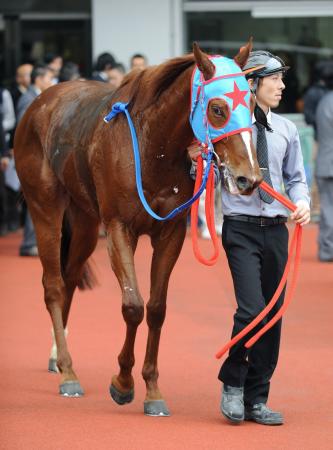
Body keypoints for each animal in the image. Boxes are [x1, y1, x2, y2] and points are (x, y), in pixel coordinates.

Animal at [14, 42, 260, 414]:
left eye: (253, 106)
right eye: (218, 108)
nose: (250, 178)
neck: (151, 147)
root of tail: (41, 102)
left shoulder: (170, 232)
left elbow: (157, 309)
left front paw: (153, 389)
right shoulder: (119, 228)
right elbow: (133, 305)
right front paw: (122, 383)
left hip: (85, 222)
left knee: (69, 278)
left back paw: (58, 357)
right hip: (46, 207)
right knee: (54, 285)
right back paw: (68, 372)